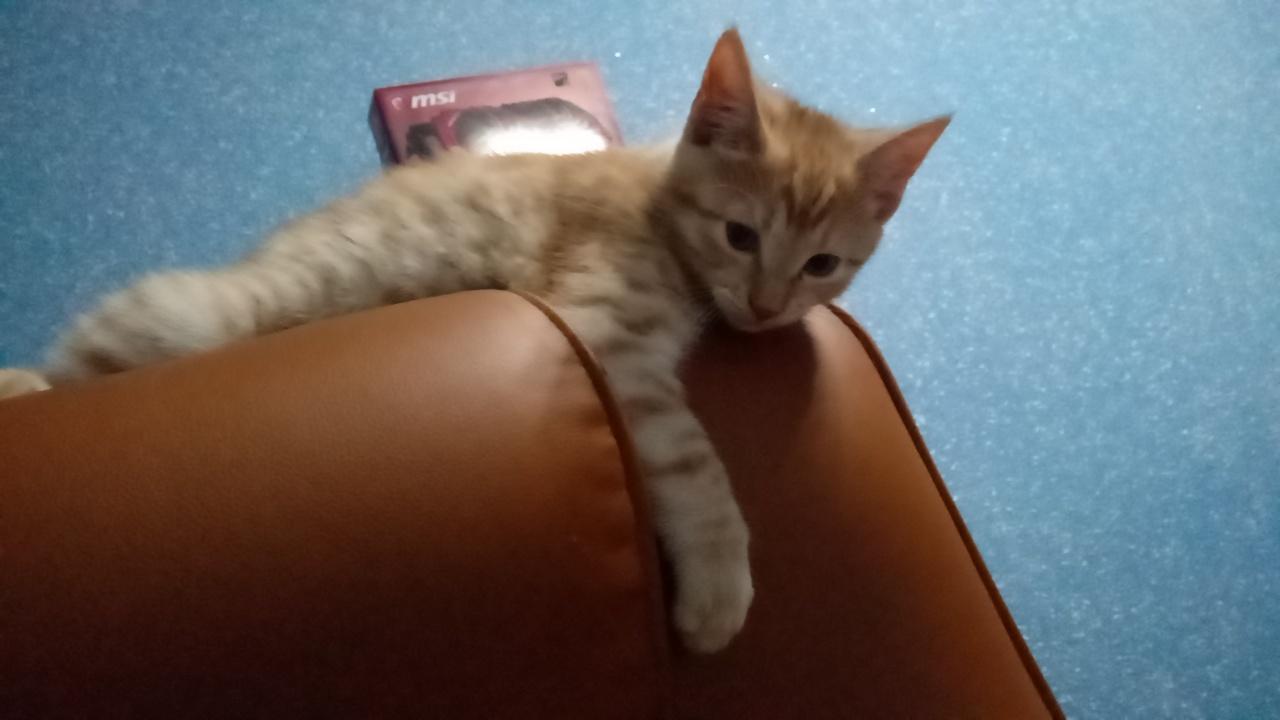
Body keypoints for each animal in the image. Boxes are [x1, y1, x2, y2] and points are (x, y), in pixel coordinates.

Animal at [0, 29, 948, 653]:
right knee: (70, 363)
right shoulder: (602, 334)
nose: (765, 306)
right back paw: (23, 383)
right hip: (194, 313)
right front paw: (718, 587)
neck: (654, 203)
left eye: (823, 264)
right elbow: (693, 458)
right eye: (740, 235)